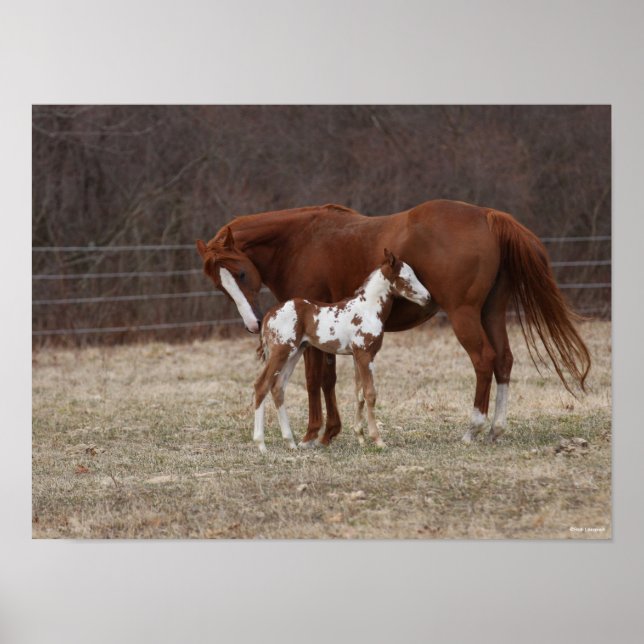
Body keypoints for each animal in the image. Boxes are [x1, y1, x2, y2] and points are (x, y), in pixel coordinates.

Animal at [252, 249, 431, 452]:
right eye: (406, 277)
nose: (427, 297)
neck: (368, 310)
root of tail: (268, 315)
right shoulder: (365, 355)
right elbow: (370, 394)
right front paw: (377, 440)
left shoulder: (357, 356)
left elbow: (359, 394)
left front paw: (360, 437)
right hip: (281, 352)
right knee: (261, 386)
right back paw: (261, 445)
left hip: (295, 352)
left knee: (278, 387)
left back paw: (290, 442)